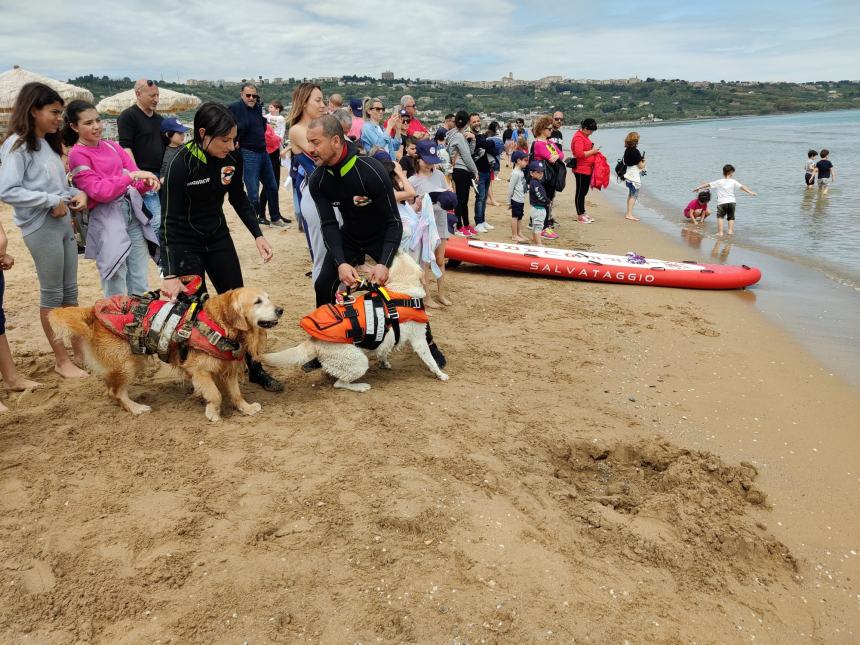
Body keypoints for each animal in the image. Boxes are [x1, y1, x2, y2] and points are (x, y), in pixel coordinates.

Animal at [50, 288, 282, 422]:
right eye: (257, 302)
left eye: (269, 298)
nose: (280, 310)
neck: (220, 324)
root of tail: (93, 309)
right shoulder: (198, 370)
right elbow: (215, 394)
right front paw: (213, 412)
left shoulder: (229, 368)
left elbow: (236, 393)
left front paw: (246, 408)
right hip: (128, 363)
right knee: (115, 392)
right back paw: (135, 408)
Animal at [264, 254, 450, 390]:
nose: (398, 249)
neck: (402, 289)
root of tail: (314, 341)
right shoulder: (419, 340)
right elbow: (431, 361)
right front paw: (441, 375)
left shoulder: (387, 339)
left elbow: (383, 351)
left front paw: (384, 362)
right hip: (359, 362)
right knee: (339, 384)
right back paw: (361, 386)